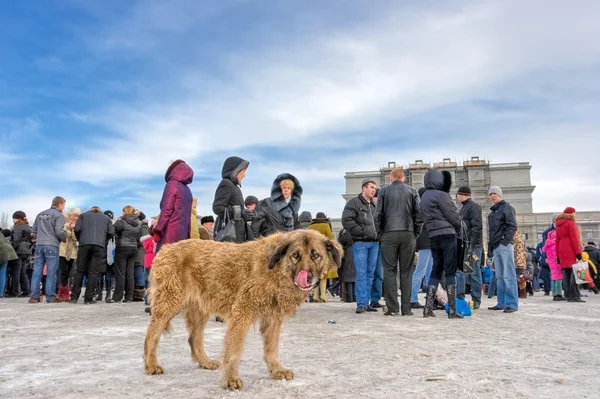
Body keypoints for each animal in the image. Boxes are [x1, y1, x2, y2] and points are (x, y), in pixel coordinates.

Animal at [143, 228, 342, 390]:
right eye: (295, 255)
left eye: (316, 255)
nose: (307, 277)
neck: (275, 270)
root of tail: (165, 249)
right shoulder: (241, 313)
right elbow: (234, 351)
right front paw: (230, 379)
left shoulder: (273, 318)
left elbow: (272, 348)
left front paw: (276, 370)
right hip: (169, 303)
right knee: (152, 335)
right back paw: (151, 365)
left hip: (200, 309)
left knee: (194, 339)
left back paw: (205, 362)